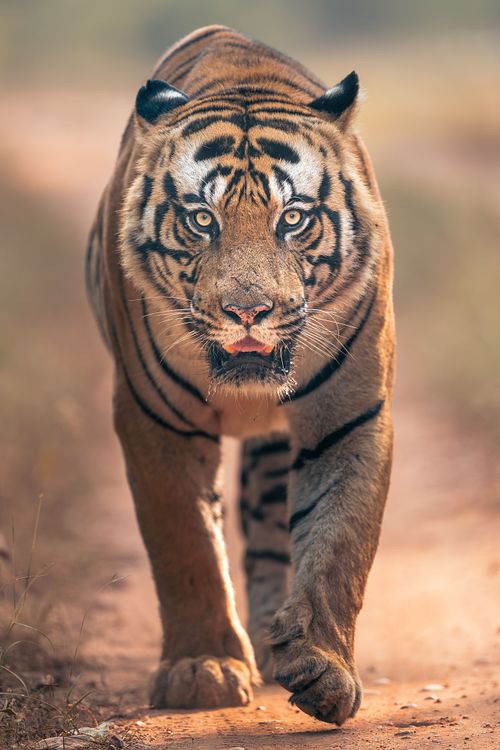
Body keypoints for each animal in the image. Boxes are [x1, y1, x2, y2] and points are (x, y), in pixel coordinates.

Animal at [86, 25, 395, 725]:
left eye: (293, 218)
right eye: (203, 219)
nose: (248, 311)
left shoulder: (351, 414)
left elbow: (339, 542)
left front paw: (323, 669)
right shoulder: (153, 420)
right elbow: (186, 542)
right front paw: (201, 669)